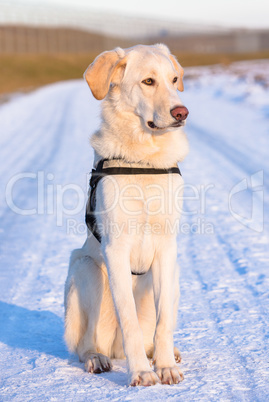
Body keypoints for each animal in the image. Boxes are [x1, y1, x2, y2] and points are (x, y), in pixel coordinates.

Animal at [63, 44, 188, 386]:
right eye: (148, 81)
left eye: (174, 80)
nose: (181, 113)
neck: (144, 158)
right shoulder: (115, 249)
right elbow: (128, 318)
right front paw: (143, 373)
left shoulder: (167, 248)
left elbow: (164, 322)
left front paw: (164, 366)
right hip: (85, 268)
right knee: (86, 343)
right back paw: (97, 358)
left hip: (175, 274)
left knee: (152, 333)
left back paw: (165, 353)